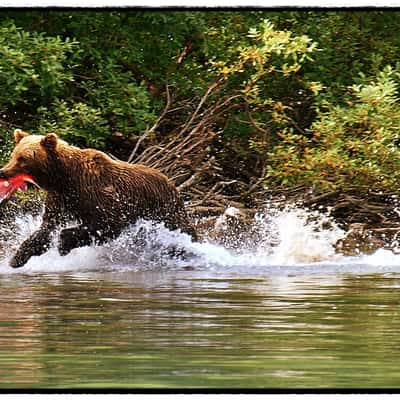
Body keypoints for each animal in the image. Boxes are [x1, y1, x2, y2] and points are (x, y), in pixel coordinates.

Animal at [0, 130, 197, 268]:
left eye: (23, 158)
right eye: (14, 155)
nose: (3, 171)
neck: (64, 178)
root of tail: (172, 183)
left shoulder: (98, 194)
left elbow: (108, 223)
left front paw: (63, 243)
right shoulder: (61, 199)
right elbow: (46, 228)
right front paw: (17, 258)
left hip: (164, 209)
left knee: (183, 230)